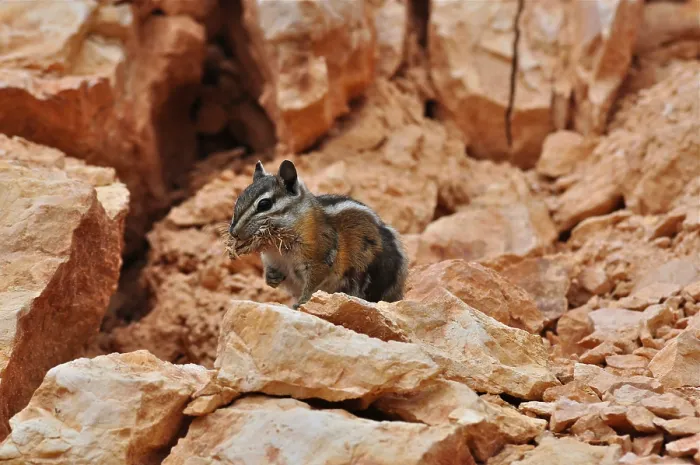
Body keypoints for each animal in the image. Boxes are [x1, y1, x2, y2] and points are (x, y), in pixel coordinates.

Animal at [227, 159, 408, 309]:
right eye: (239, 199)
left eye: (264, 204)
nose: (233, 232)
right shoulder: (272, 259)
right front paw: (271, 277)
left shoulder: (320, 258)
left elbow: (312, 284)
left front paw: (301, 302)